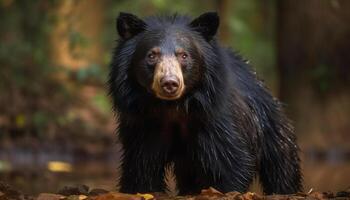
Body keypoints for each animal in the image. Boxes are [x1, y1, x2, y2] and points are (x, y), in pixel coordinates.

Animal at [108, 11, 300, 195]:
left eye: (184, 55)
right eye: (152, 55)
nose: (169, 83)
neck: (172, 108)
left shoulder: (213, 119)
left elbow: (230, 163)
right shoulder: (143, 123)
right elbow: (142, 167)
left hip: (269, 126)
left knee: (282, 166)